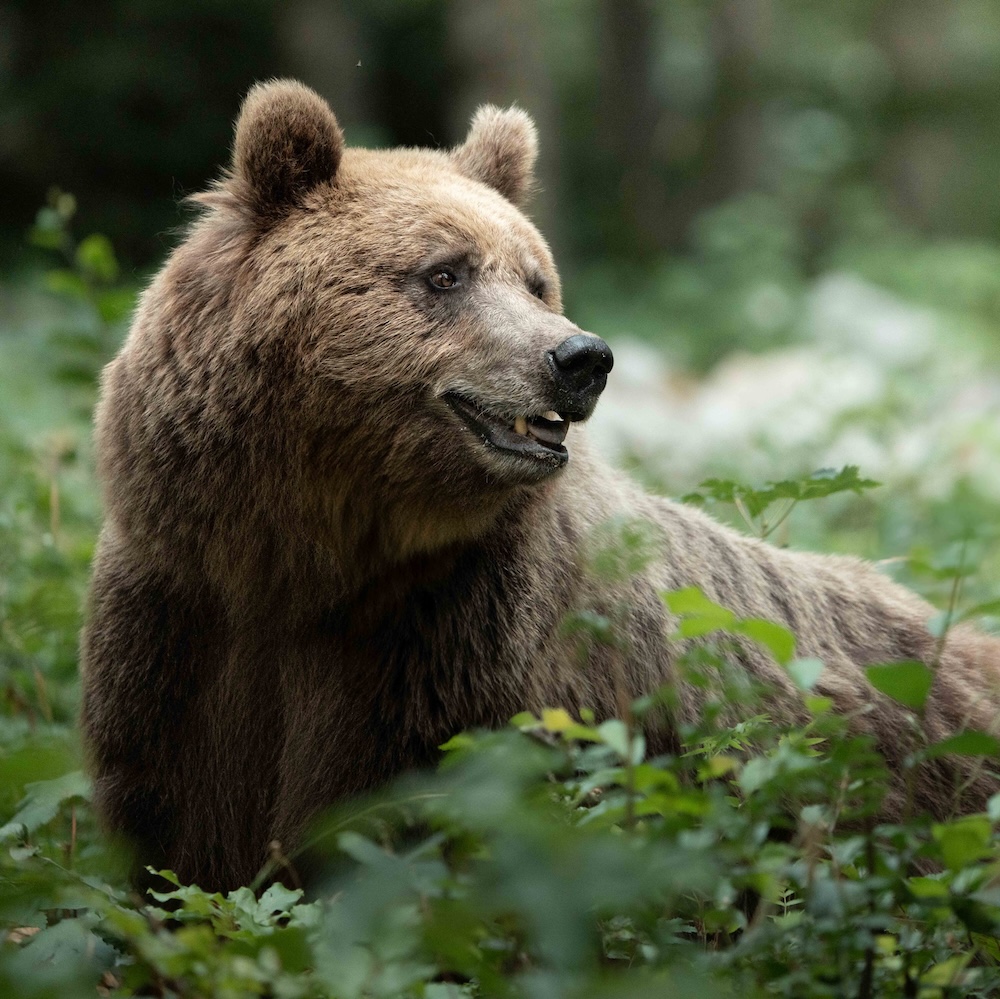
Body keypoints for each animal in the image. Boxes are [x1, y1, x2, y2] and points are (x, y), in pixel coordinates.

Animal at [81, 79, 1000, 893]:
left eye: (533, 278)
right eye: (444, 273)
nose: (581, 356)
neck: (310, 556)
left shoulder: (459, 652)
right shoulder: (178, 629)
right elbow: (175, 843)